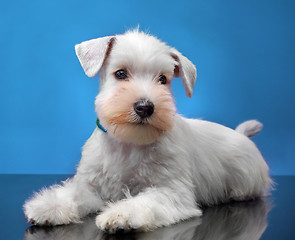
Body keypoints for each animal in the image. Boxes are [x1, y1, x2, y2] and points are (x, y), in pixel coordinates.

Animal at [23, 29, 272, 232]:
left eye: (163, 79)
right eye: (120, 74)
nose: (145, 107)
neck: (128, 143)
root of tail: (240, 134)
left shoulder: (171, 191)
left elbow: (144, 201)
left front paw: (120, 215)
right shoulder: (92, 186)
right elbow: (75, 193)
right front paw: (47, 206)